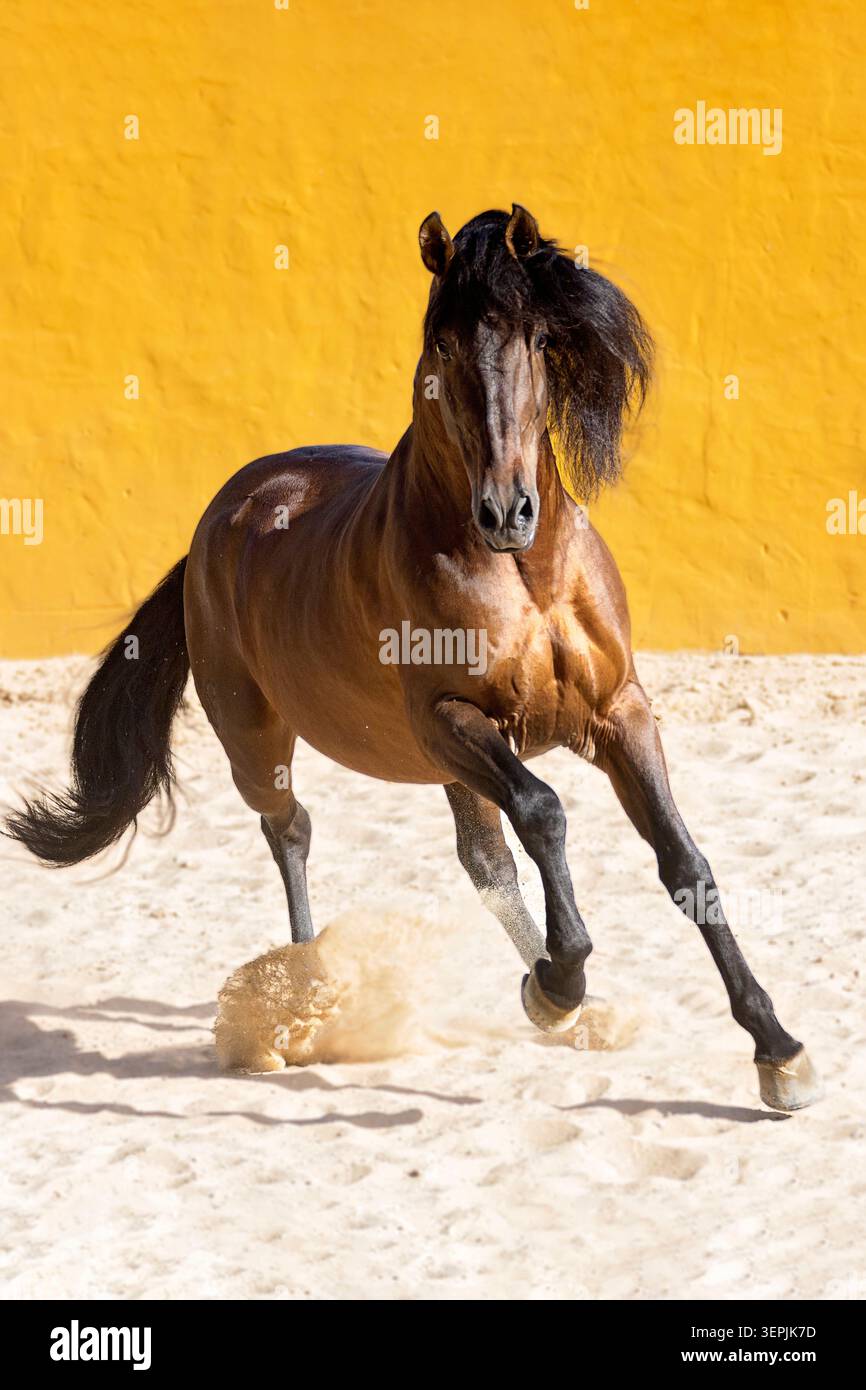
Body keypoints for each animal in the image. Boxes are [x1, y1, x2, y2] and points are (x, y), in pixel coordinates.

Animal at [5, 204, 820, 1111]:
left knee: (480, 858)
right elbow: (546, 813)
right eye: (443, 344)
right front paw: (559, 981)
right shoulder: (447, 719)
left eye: (542, 337)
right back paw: (313, 995)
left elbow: (684, 863)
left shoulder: (619, 714)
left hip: (442, 762)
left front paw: (778, 1050)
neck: (526, 574)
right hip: (264, 740)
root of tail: (221, 517)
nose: (508, 510)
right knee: (292, 830)